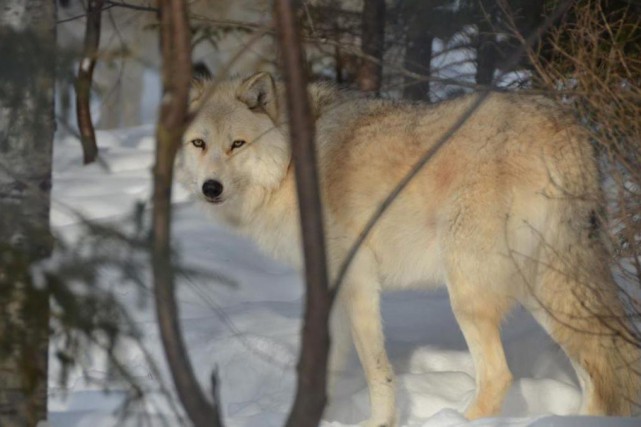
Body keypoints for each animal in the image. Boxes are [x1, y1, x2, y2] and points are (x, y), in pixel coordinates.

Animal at [175, 72, 640, 426]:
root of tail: (567, 128)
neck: (290, 164)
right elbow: (327, 366)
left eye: (237, 144)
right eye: (199, 144)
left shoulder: (358, 280)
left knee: (499, 376)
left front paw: (378, 422)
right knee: (602, 369)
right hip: (544, 291)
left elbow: (376, 368)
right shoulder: (332, 289)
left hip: (469, 292)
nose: (210, 188)